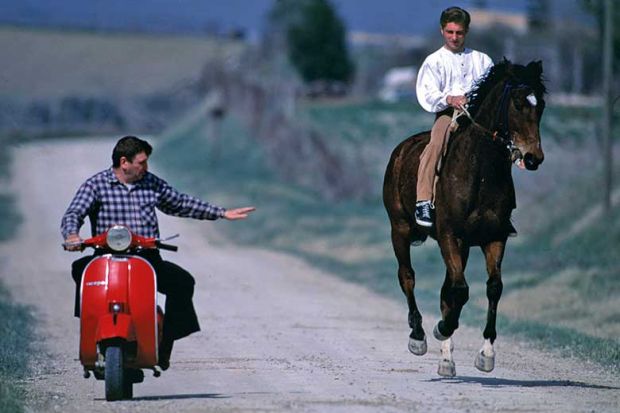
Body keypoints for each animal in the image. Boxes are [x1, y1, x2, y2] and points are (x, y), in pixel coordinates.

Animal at [382, 60, 548, 376]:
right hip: (400, 229)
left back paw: (446, 359)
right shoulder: (450, 235)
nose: (533, 158)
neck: (480, 170)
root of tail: (400, 150)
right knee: (407, 276)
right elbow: (459, 290)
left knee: (445, 290)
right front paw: (441, 329)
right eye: (518, 103)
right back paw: (419, 336)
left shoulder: (493, 238)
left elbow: (491, 288)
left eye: (541, 105)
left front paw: (486, 354)